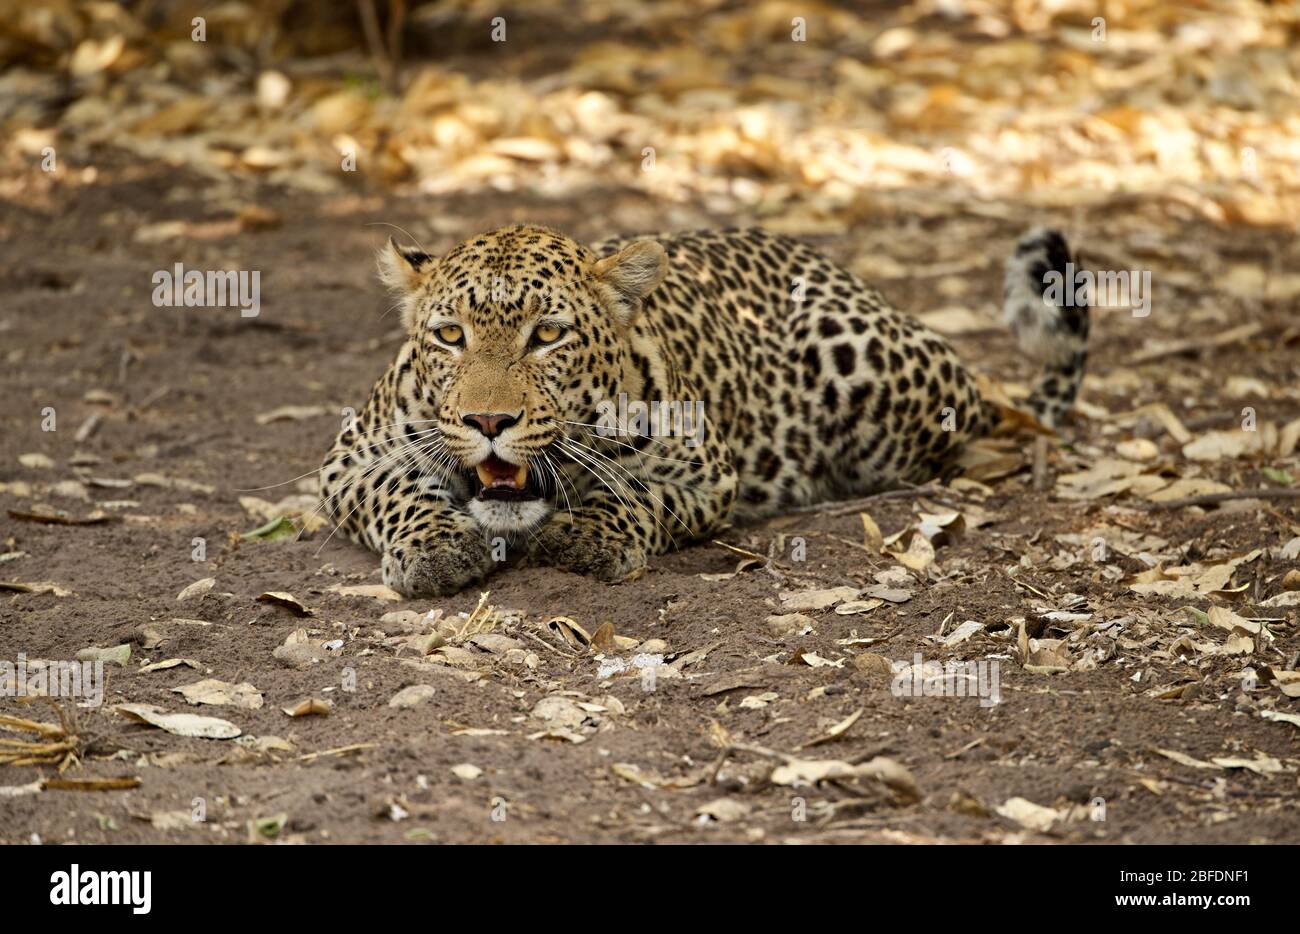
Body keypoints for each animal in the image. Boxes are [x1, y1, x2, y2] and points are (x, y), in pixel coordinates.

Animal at [317, 223, 1086, 595]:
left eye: (548, 335)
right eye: (451, 336)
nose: (488, 423)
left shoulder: (706, 475)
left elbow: (634, 494)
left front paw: (586, 536)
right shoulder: (349, 461)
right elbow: (402, 492)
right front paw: (436, 548)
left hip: (876, 371)